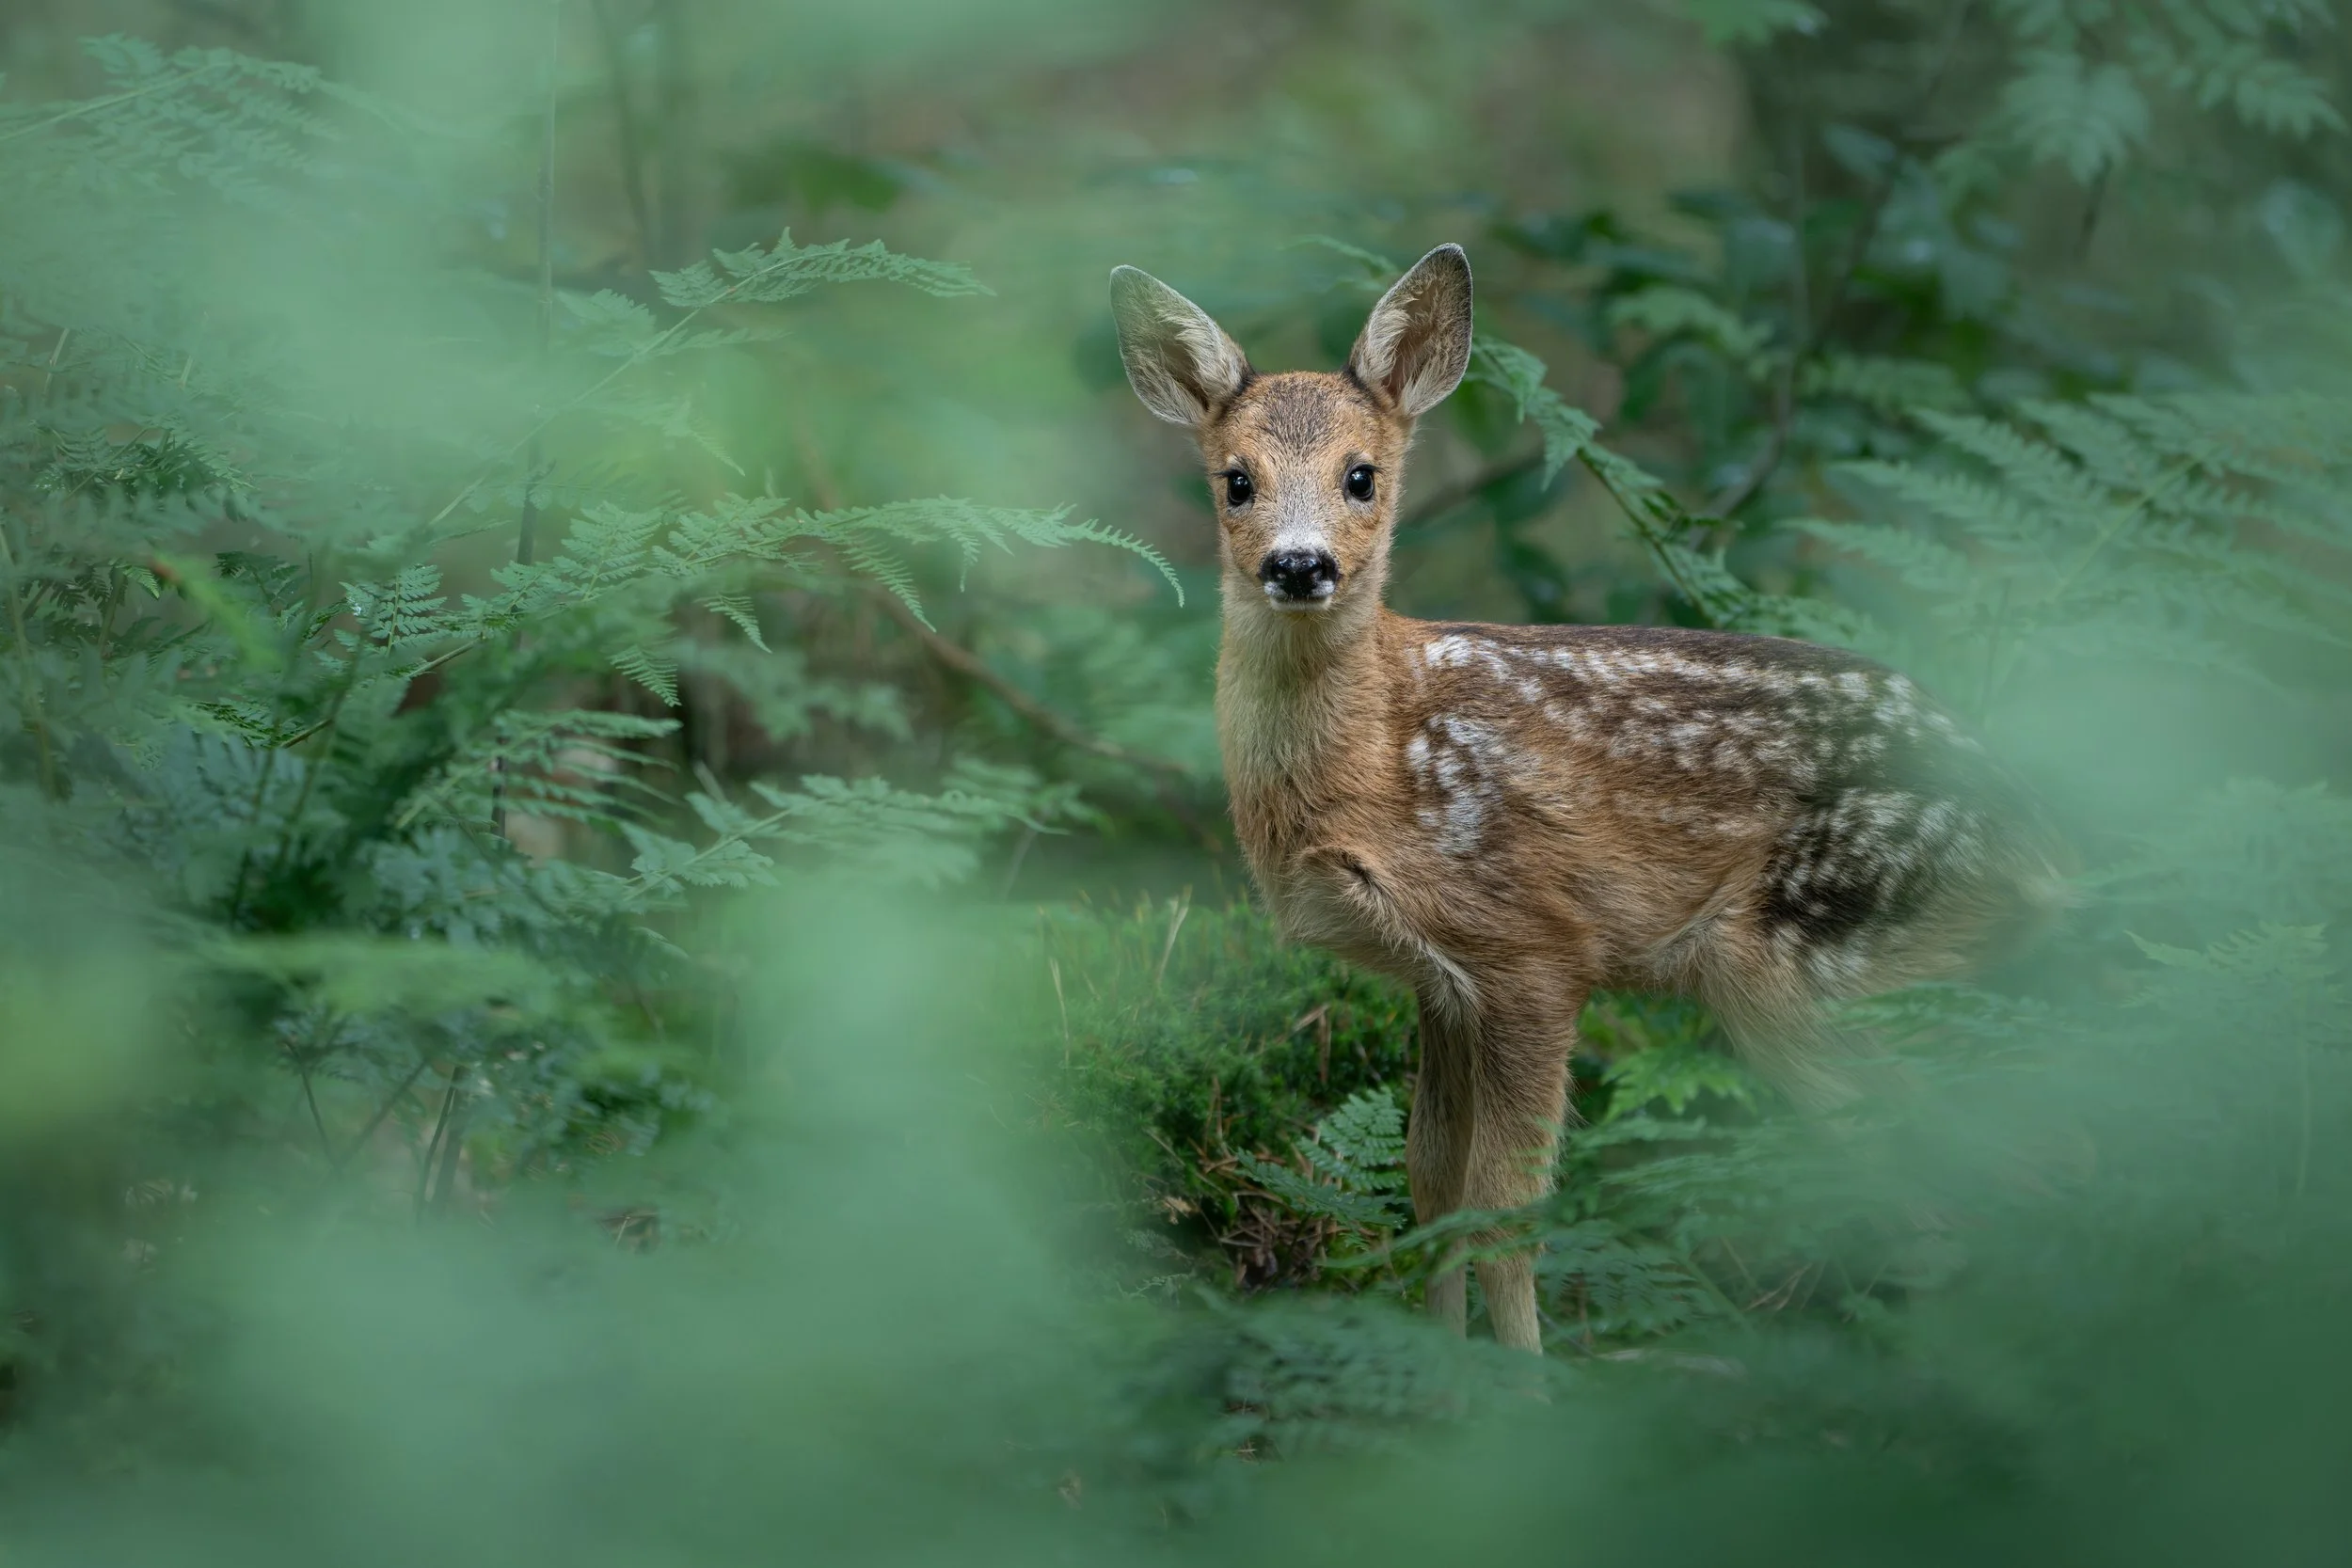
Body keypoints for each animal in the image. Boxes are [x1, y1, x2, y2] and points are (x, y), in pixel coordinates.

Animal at [1108, 243, 2068, 1353]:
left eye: (1361, 475)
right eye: (1236, 480)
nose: (1299, 564)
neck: (1378, 756)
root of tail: (2049, 854)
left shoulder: (1534, 944)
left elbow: (1505, 1207)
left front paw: (1523, 1380)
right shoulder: (1440, 978)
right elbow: (1432, 1182)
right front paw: (1441, 1361)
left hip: (1805, 953)